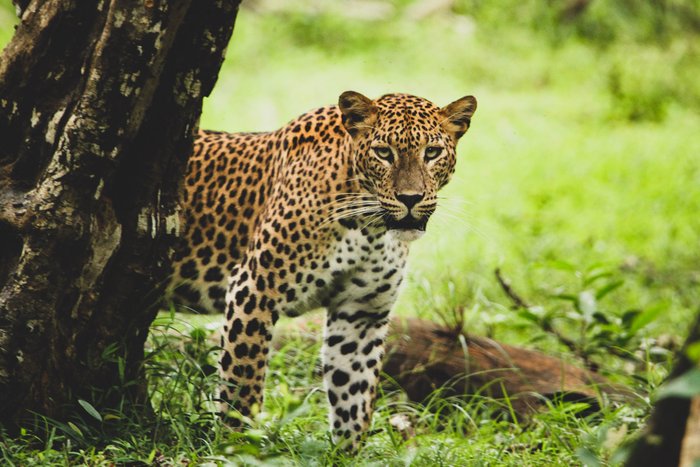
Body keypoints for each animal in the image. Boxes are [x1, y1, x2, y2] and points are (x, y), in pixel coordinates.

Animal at [169, 91, 477, 451]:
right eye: (383, 153)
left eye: (432, 152)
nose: (410, 198)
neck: (369, 227)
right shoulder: (254, 291)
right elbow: (242, 386)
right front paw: (237, 447)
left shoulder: (361, 312)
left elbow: (353, 396)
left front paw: (346, 454)